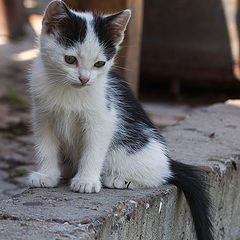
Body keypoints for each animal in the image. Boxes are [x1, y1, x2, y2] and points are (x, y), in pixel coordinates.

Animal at [28, 0, 214, 239]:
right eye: (70, 60)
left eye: (99, 64)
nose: (84, 79)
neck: (68, 91)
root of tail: (166, 159)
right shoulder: (43, 116)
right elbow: (46, 147)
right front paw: (46, 175)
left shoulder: (103, 119)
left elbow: (94, 149)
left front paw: (86, 181)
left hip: (138, 154)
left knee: (161, 175)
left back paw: (119, 179)